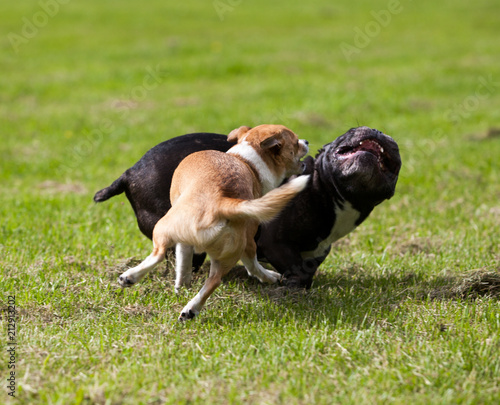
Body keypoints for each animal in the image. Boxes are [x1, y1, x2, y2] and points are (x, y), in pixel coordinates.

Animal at [95, 126, 402, 288]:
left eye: (397, 151)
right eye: (348, 133)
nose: (376, 131)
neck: (324, 188)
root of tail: (128, 173)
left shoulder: (314, 253)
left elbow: (306, 270)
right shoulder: (276, 243)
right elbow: (297, 271)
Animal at [119, 123, 310, 318]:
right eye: (296, 143)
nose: (307, 141)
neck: (247, 161)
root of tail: (221, 202)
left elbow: (183, 259)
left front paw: (181, 285)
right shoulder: (248, 241)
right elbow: (251, 264)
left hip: (167, 227)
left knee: (165, 256)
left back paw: (135, 279)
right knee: (213, 278)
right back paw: (188, 307)